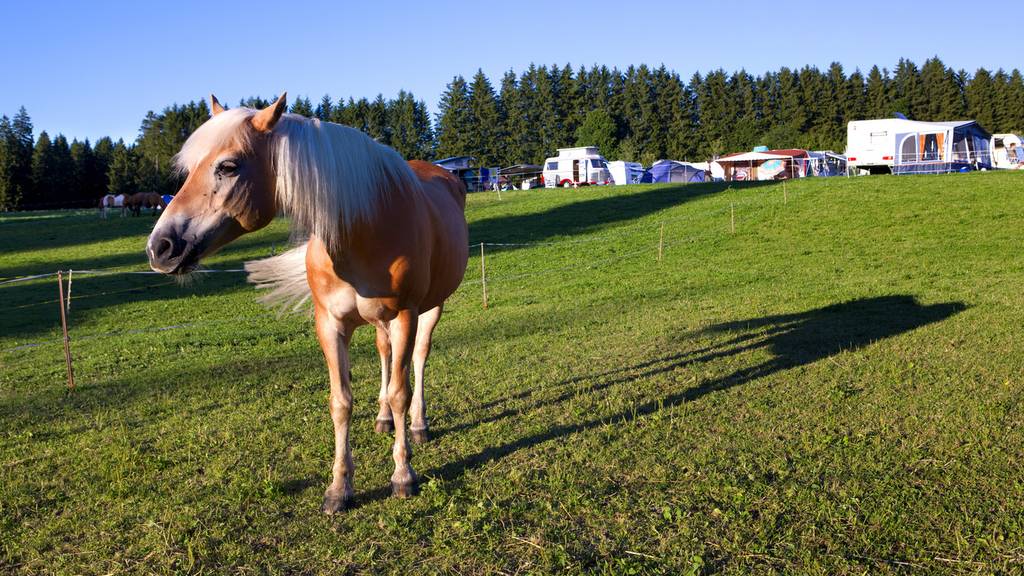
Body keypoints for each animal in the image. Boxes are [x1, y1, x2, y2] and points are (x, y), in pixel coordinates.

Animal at [146, 93, 468, 510]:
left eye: (228, 166)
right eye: (188, 169)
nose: (160, 248)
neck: (366, 225)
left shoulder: (404, 316)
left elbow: (401, 391)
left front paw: (403, 476)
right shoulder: (329, 324)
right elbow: (341, 401)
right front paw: (339, 488)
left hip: (430, 309)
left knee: (419, 359)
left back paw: (418, 424)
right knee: (384, 354)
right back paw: (382, 420)